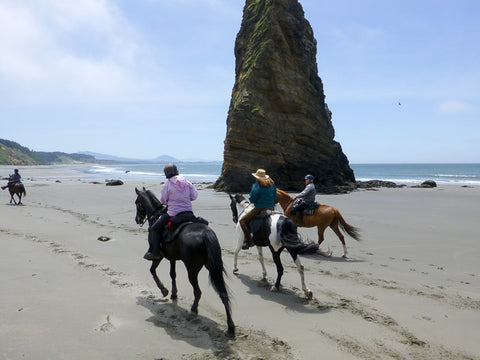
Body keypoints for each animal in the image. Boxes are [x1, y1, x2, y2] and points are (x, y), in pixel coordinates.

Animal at [134, 187, 235, 336]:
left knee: (198, 292)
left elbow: (152, 270)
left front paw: (164, 290)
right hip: (214, 268)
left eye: (137, 203)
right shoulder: (172, 258)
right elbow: (173, 274)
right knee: (223, 293)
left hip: (192, 269)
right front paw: (174, 293)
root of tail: (205, 233)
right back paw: (230, 327)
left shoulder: (159, 256)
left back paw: (193, 310)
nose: (137, 219)